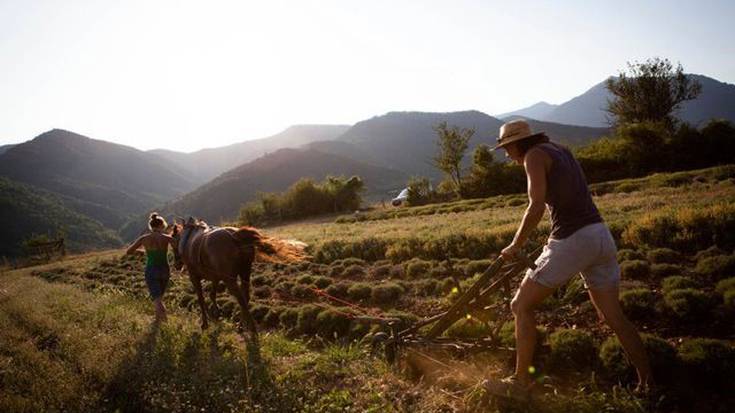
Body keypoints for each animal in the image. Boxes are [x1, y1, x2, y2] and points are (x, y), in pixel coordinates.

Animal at [172, 217, 304, 336]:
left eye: (173, 242)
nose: (176, 265)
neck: (188, 239)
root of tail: (235, 236)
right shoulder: (216, 277)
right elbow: (212, 295)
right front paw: (217, 314)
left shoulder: (194, 276)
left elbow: (201, 298)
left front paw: (205, 323)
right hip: (245, 273)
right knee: (245, 297)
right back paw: (241, 326)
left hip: (230, 279)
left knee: (240, 299)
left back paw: (251, 328)